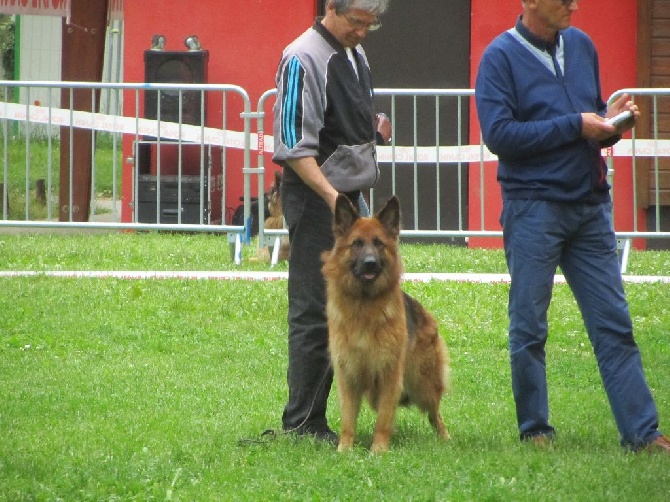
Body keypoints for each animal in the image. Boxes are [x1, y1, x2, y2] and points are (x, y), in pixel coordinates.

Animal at [322, 194, 452, 452]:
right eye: (357, 243)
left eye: (379, 243)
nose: (370, 263)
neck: (364, 305)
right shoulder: (348, 375)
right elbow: (348, 419)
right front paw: (345, 448)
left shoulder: (390, 375)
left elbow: (383, 418)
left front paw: (379, 450)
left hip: (423, 385)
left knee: (435, 414)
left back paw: (444, 439)